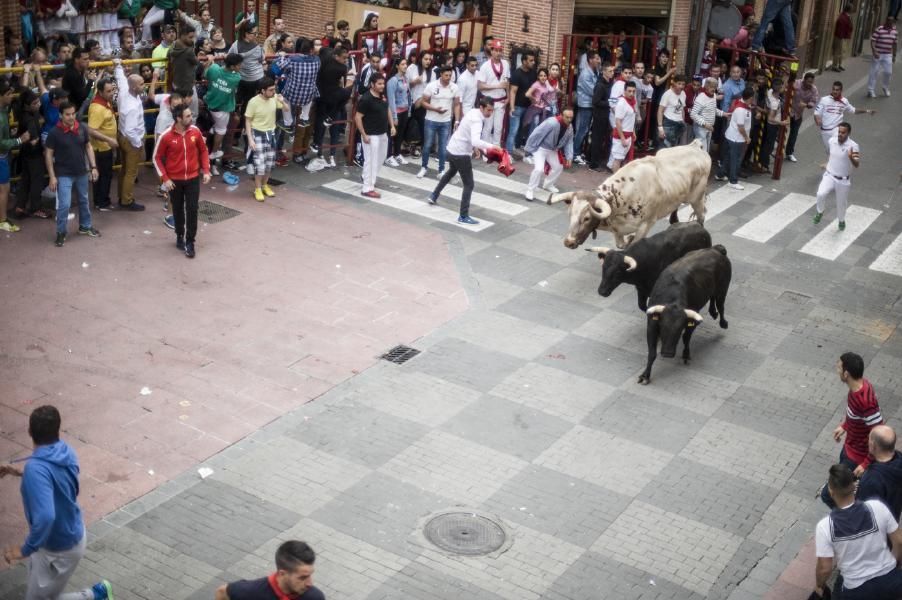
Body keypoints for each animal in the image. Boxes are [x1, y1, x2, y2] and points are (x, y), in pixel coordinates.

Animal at [552, 139, 712, 250]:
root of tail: (695, 147)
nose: (568, 242)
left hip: (697, 199)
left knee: (701, 217)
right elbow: (622, 245)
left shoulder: (646, 224)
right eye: (570, 214)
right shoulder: (618, 230)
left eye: (586, 218)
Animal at [588, 223, 716, 312]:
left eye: (618, 273)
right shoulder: (641, 290)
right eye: (603, 268)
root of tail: (699, 226)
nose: (602, 291)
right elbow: (642, 306)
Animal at [640, 244, 732, 384]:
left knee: (721, 305)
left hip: (723, 289)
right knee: (713, 298)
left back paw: (723, 322)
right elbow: (652, 352)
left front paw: (686, 355)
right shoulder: (651, 324)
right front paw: (645, 375)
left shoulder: (692, 320)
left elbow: (686, 337)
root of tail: (716, 249)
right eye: (662, 327)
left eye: (679, 330)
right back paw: (713, 312)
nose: (667, 353)